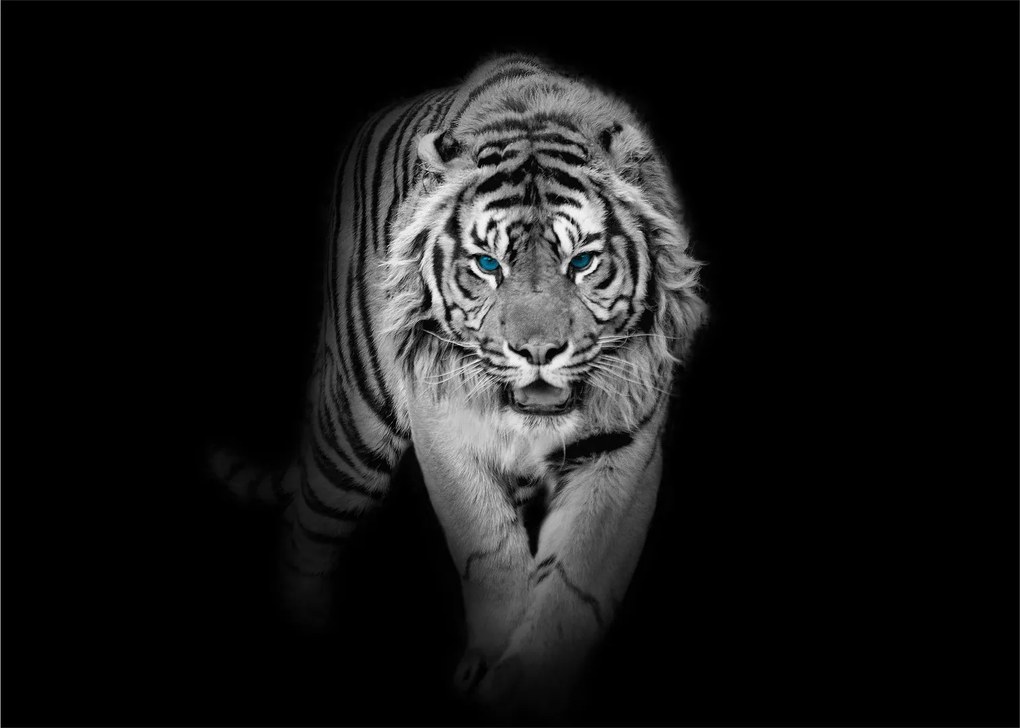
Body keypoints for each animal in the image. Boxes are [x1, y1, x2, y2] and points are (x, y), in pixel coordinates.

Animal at [211, 53, 706, 718]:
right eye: (487, 265)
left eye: (582, 262)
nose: (538, 352)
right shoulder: (443, 429)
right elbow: (488, 552)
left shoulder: (624, 447)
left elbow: (575, 582)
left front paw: (525, 684)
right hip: (354, 429)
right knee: (305, 534)